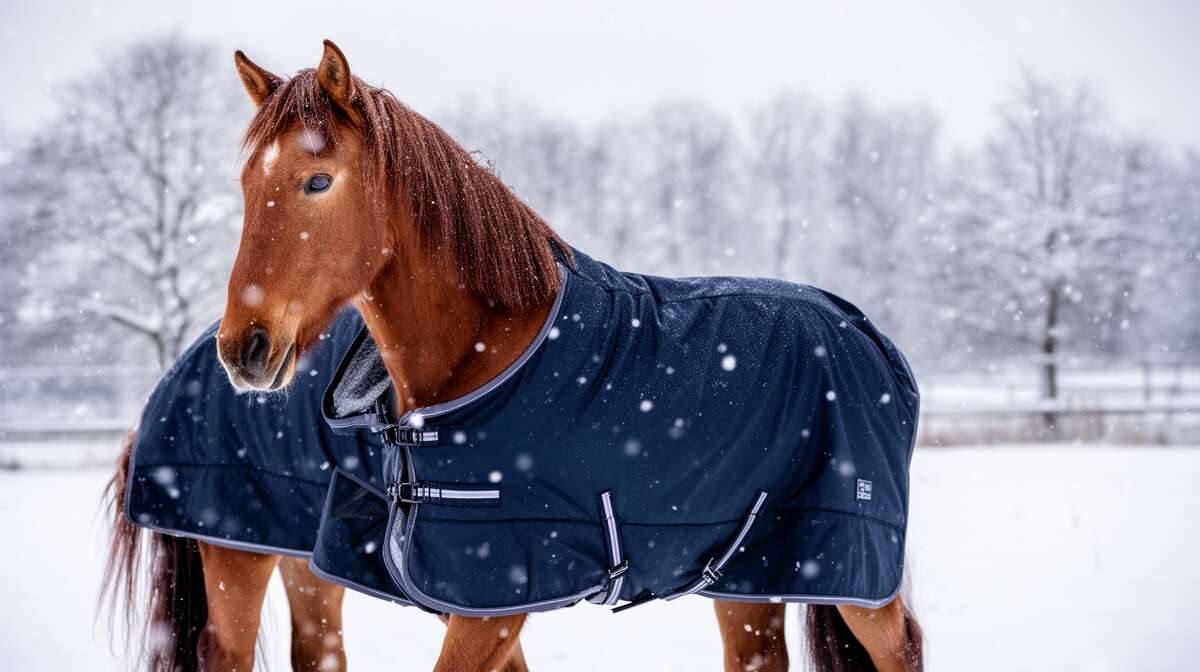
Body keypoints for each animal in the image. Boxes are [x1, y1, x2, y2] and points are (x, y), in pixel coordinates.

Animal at [216, 40, 924, 672]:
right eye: (246, 183)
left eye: (318, 181)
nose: (242, 348)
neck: (489, 356)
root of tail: (864, 330)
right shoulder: (471, 598)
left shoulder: (497, 596)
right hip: (747, 572)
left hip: (851, 564)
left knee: (902, 647)